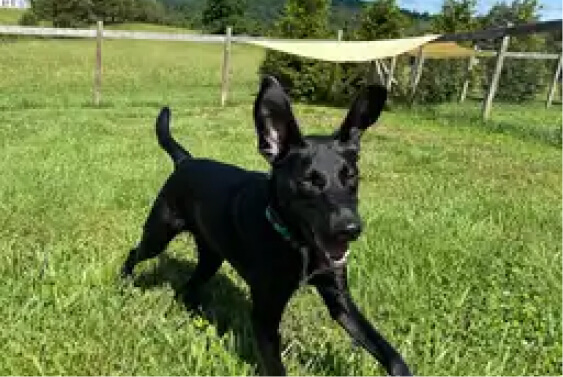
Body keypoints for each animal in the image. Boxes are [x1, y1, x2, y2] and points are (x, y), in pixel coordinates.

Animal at [121, 75, 412, 374]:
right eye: (309, 180)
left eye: (351, 175)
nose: (351, 228)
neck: (296, 244)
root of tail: (185, 160)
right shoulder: (265, 315)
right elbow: (275, 366)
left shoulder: (339, 298)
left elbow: (387, 350)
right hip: (158, 234)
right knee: (136, 253)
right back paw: (125, 282)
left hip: (211, 255)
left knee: (188, 287)